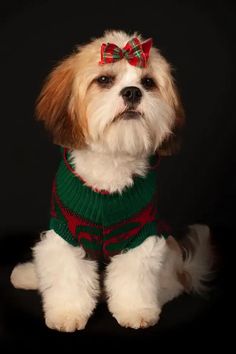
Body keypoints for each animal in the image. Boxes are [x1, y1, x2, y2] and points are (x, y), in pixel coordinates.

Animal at [9, 30, 212, 332]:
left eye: (148, 82)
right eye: (104, 80)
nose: (132, 92)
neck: (111, 159)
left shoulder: (138, 235)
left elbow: (133, 277)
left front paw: (135, 310)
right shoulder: (66, 232)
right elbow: (66, 273)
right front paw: (67, 312)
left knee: (171, 284)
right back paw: (28, 275)